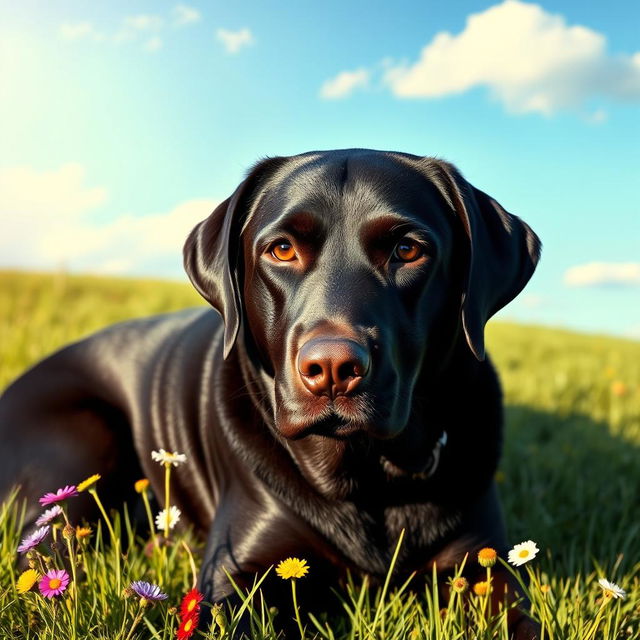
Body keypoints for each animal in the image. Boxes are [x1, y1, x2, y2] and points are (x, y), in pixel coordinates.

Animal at [0, 149, 540, 636]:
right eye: (281, 250)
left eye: (407, 250)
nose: (332, 369)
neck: (366, 477)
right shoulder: (236, 574)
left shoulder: (483, 568)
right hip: (85, 443)